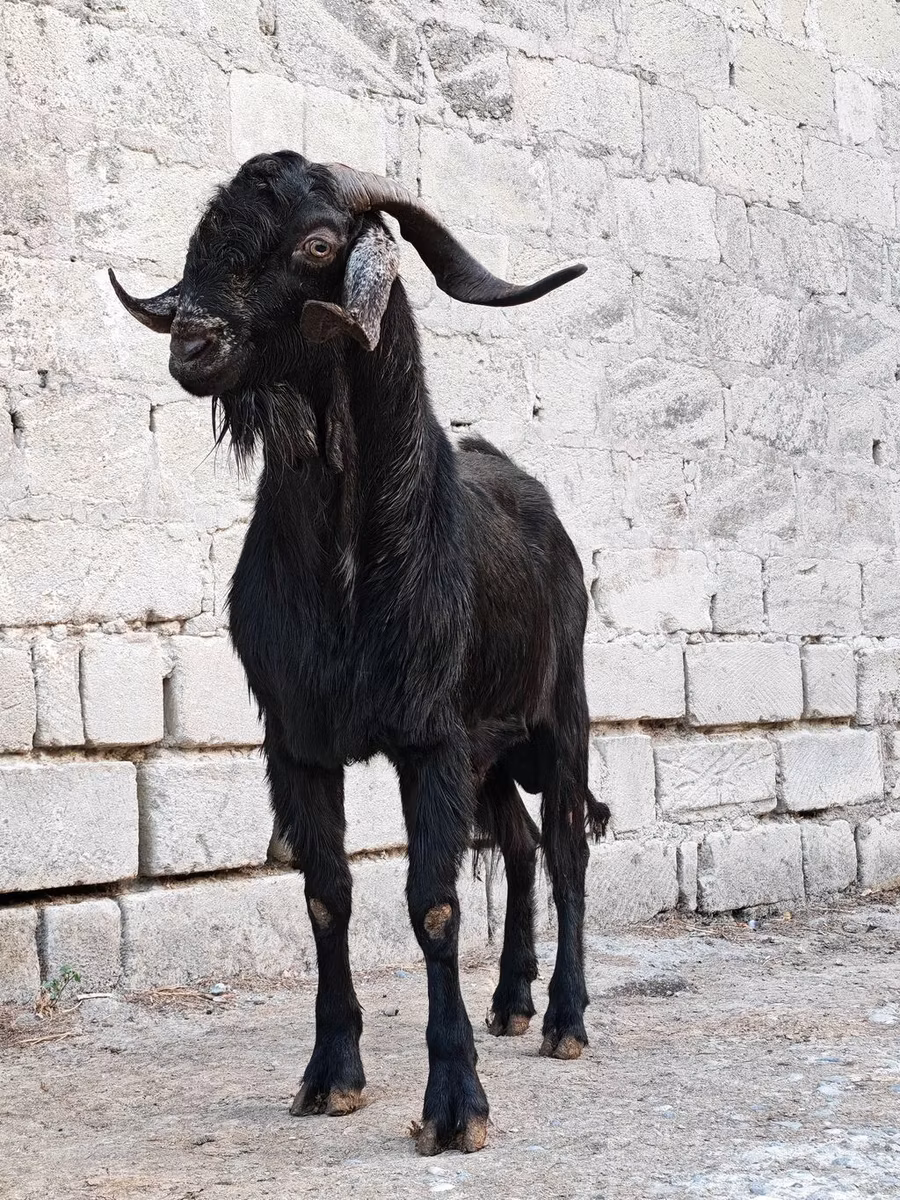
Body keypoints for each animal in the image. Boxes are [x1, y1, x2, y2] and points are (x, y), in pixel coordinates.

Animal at [110, 152, 609, 1156]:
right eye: (205, 237)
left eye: (316, 243)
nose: (193, 345)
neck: (350, 562)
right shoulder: (297, 743)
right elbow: (326, 896)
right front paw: (331, 1076)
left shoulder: (430, 739)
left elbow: (433, 903)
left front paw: (455, 1106)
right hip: (492, 755)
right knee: (523, 845)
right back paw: (511, 1003)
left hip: (562, 717)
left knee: (569, 849)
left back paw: (566, 1020)